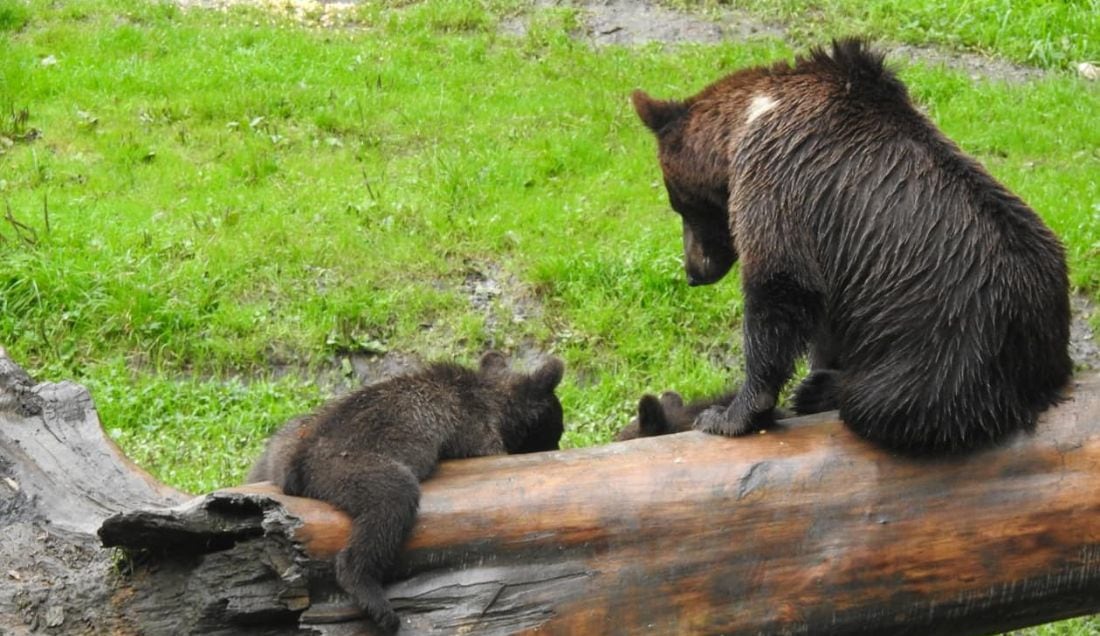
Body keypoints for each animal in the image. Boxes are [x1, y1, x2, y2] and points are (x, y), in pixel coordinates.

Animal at [247, 351, 565, 633]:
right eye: (557, 428)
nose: (559, 445)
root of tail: (296, 462)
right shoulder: (475, 433)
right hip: (346, 464)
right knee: (391, 500)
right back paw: (372, 597)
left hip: (278, 448)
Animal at [631, 38, 1071, 454]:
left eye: (679, 204)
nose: (693, 272)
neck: (746, 122)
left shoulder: (777, 183)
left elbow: (779, 286)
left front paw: (727, 414)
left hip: (947, 353)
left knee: (883, 403)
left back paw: (820, 390)